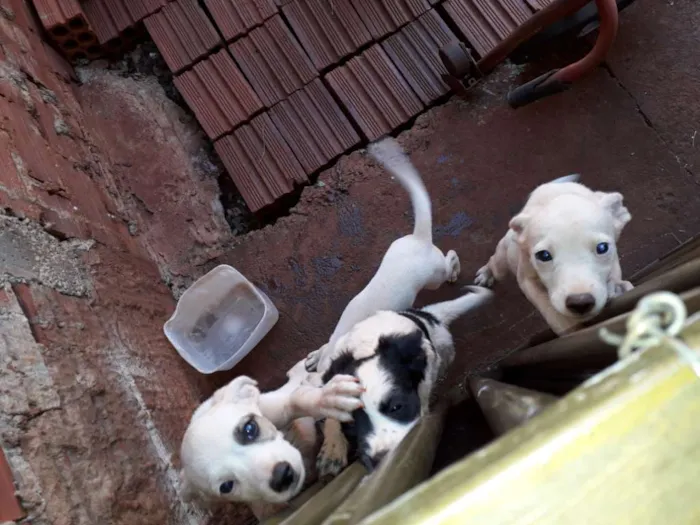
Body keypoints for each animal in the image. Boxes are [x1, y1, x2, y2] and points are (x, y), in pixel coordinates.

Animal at [178, 358, 364, 506]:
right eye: (226, 486)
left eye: (250, 428)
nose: (282, 476)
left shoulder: (277, 407)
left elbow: (297, 398)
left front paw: (328, 397)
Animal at [318, 286, 492, 470]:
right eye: (350, 423)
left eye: (397, 407)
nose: (382, 462)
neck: (367, 349)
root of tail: (426, 314)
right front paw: (333, 448)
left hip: (446, 349)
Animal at [476, 174, 636, 334]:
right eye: (543, 255)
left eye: (602, 248)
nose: (580, 303)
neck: (557, 195)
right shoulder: (526, 279)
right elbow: (549, 309)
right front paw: (568, 326)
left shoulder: (613, 260)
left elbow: (614, 275)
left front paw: (617, 287)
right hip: (502, 264)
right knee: (493, 262)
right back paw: (485, 274)